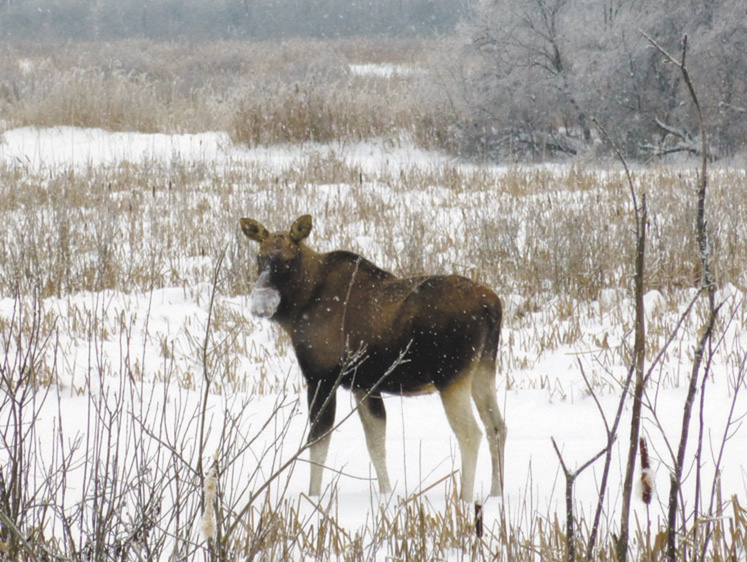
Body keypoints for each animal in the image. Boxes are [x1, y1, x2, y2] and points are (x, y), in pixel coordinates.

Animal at [243, 213, 506, 498]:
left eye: (289, 260)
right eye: (259, 256)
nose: (261, 304)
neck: (300, 306)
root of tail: (492, 306)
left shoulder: (320, 378)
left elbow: (317, 445)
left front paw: (313, 496)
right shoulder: (363, 385)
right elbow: (376, 443)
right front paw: (386, 493)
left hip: (451, 376)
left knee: (470, 433)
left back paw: (465, 499)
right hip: (483, 369)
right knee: (496, 426)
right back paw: (496, 494)